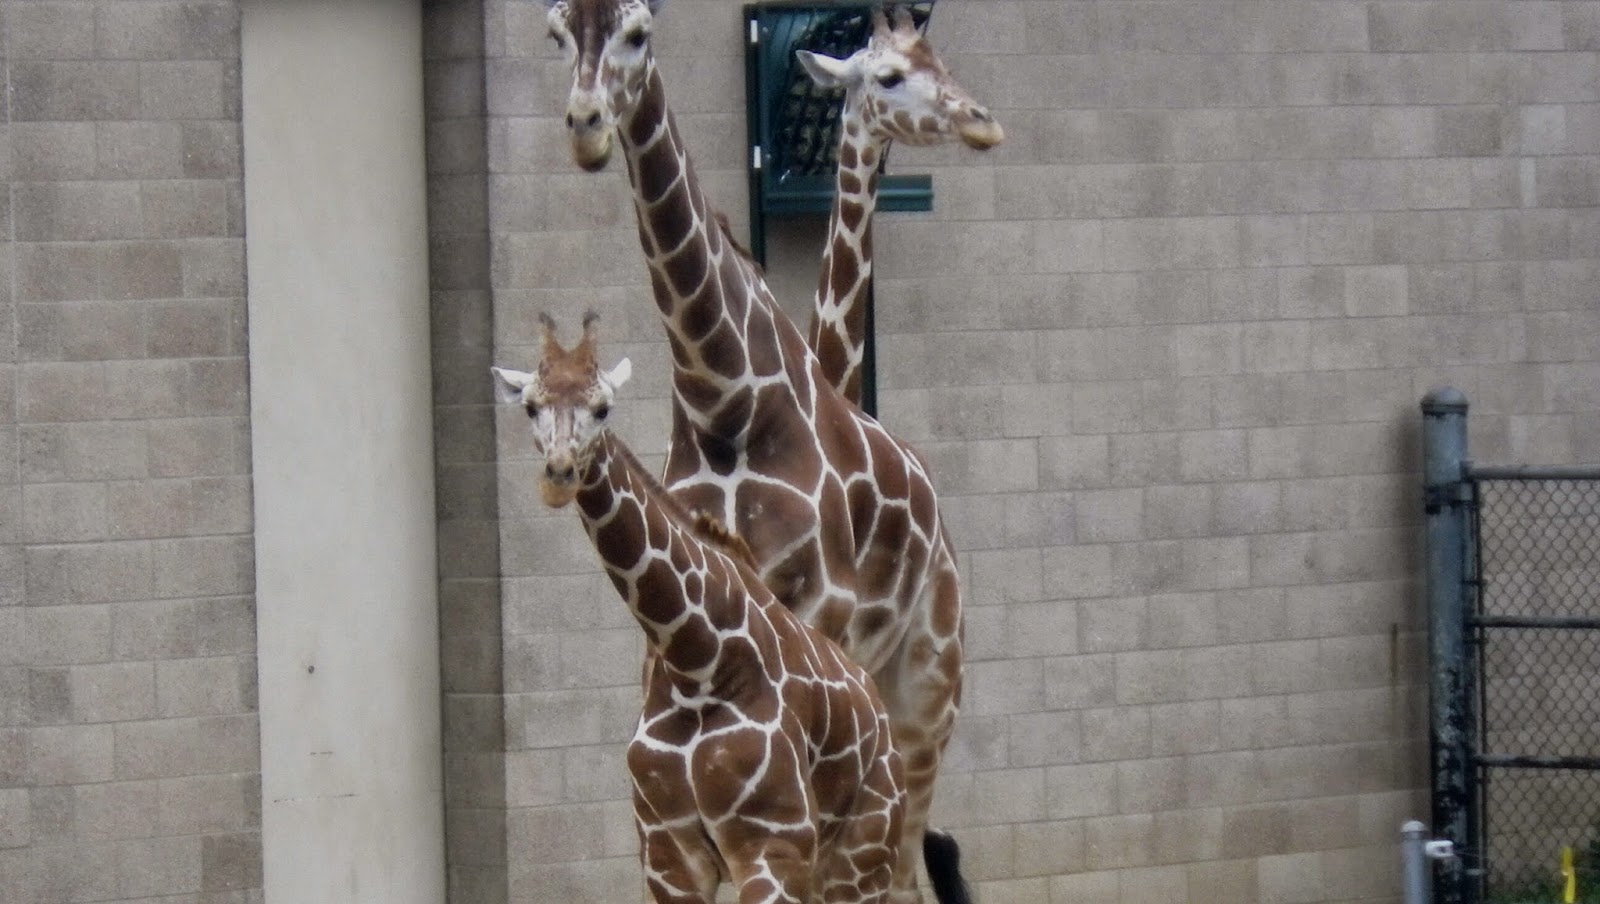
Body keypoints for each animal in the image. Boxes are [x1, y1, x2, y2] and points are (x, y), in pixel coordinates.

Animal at [492, 313, 905, 903]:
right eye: (531, 405)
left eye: (603, 407)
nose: (559, 475)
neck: (697, 659)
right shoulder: (667, 855)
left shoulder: (771, 846)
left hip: (863, 855)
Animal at [544, 2, 969, 901]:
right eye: (559, 33)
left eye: (638, 31)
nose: (588, 125)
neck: (727, 400)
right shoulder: (671, 641)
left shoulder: (818, 620)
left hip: (927, 688)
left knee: (907, 861)